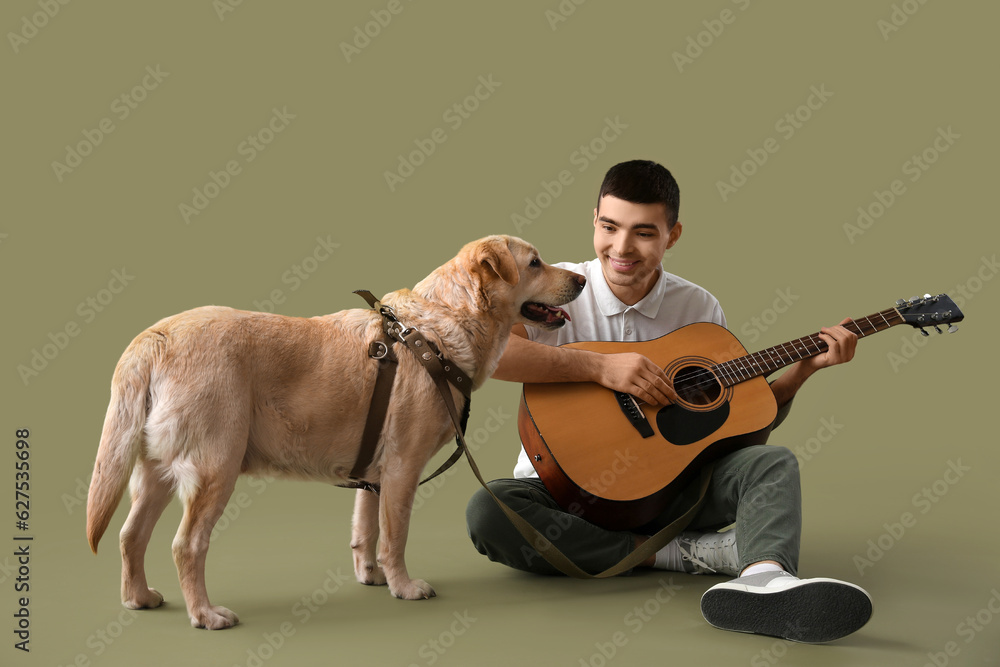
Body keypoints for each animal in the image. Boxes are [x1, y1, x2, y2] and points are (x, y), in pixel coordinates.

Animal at [88, 236, 584, 632]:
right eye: (535, 263)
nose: (581, 279)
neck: (436, 330)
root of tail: (156, 335)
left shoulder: (375, 475)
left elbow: (367, 529)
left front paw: (372, 575)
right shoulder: (403, 467)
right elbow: (395, 536)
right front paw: (404, 586)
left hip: (155, 473)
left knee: (130, 535)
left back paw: (139, 598)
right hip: (215, 470)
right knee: (186, 545)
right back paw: (206, 615)